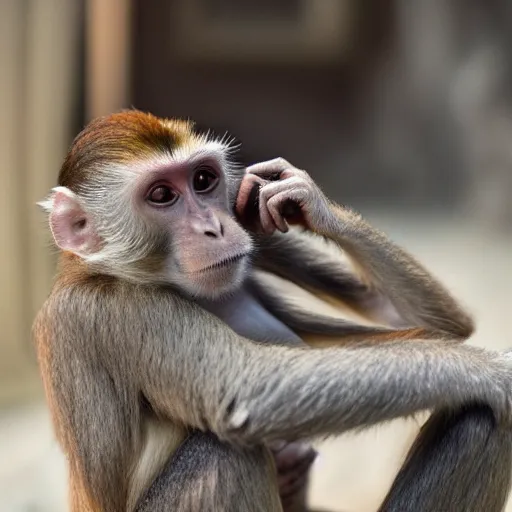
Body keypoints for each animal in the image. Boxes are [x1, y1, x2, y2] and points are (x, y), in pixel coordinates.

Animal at [34, 111, 512, 512]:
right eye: (161, 194)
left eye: (203, 180)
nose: (214, 227)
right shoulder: (114, 310)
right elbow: (244, 391)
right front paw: (494, 371)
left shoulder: (255, 247)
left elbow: (434, 327)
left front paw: (307, 199)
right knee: (224, 454)